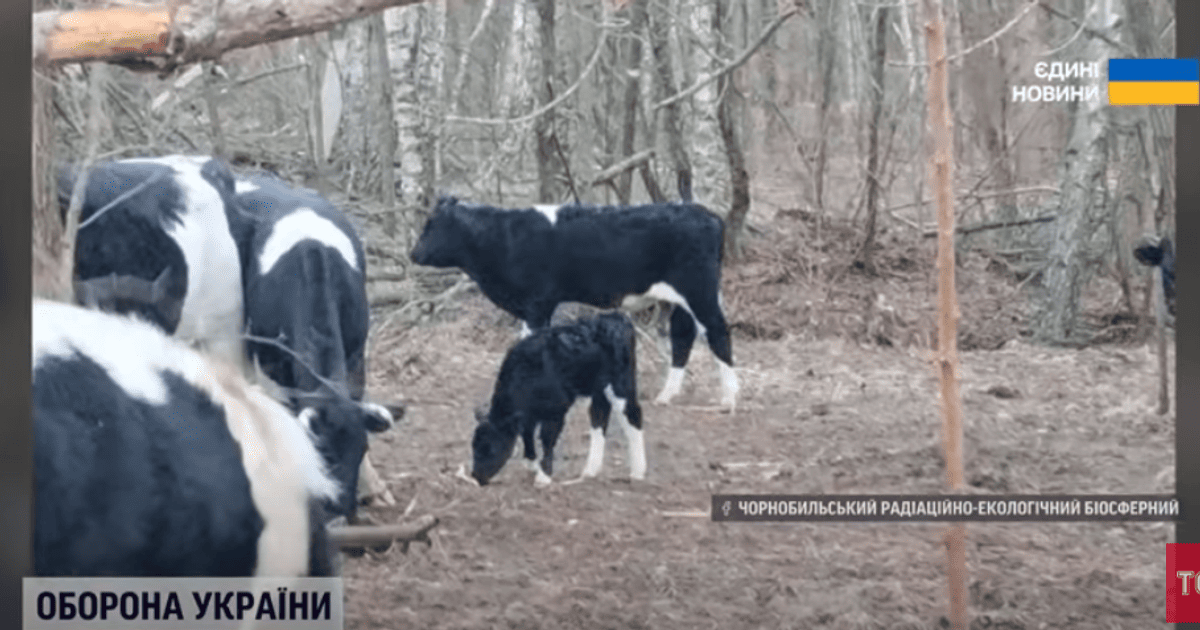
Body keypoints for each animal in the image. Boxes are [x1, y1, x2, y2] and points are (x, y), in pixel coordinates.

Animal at [410, 197, 740, 411]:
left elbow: (531, 341)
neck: (504, 237)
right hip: (678, 298)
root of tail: (705, 213)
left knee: (718, 331)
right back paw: (667, 395)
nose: (413, 254)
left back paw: (728, 397)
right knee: (683, 337)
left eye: (431, 224)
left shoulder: (537, 303)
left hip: (699, 290)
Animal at [471, 312, 646, 487]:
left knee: (632, 414)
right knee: (599, 417)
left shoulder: (556, 409)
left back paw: (638, 472)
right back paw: (590, 471)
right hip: (598, 387)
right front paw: (531, 463)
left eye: (491, 450)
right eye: (473, 447)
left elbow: (547, 438)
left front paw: (544, 475)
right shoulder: (530, 413)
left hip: (621, 383)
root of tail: (616, 317)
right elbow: (527, 433)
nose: (476, 477)